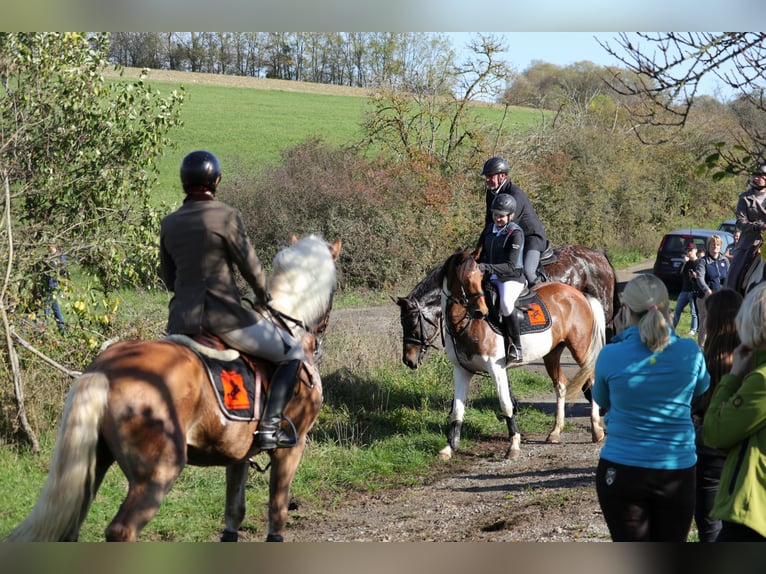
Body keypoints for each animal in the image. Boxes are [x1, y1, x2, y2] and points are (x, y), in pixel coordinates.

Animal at [6, 235, 342, 544]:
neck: (289, 329)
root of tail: (105, 370)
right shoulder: (292, 448)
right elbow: (277, 510)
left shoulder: (238, 453)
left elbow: (234, 512)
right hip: (158, 473)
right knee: (121, 531)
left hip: (93, 464)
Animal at [438, 249, 608, 464]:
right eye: (466, 278)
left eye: (479, 277)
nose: (481, 312)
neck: (465, 325)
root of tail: (579, 294)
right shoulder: (461, 371)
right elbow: (457, 410)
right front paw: (448, 448)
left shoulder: (496, 368)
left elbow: (506, 405)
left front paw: (514, 446)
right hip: (552, 353)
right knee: (560, 385)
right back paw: (555, 432)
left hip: (581, 349)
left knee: (591, 381)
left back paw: (596, 430)